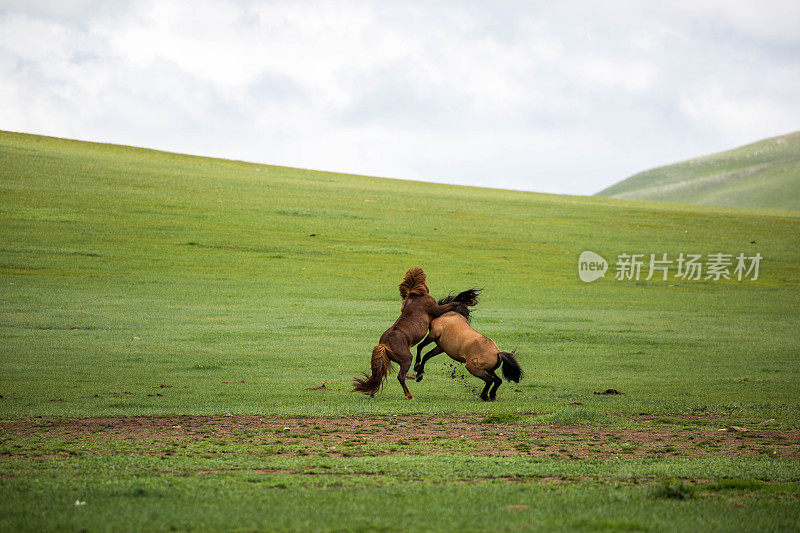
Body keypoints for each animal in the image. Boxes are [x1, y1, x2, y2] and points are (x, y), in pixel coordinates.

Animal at [350, 268, 476, 396]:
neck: (416, 297)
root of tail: (384, 345)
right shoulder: (437, 310)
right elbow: (453, 303)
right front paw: (471, 301)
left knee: (379, 376)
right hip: (406, 359)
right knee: (400, 376)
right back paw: (409, 394)